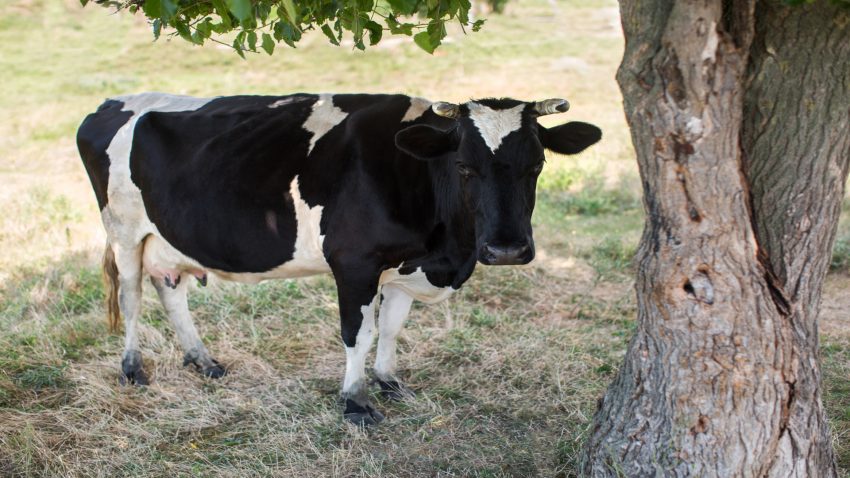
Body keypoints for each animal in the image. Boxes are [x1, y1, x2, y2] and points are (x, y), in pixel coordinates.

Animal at [76, 92, 601, 425]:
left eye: (537, 164)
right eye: (464, 166)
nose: (507, 249)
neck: (445, 251)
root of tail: (108, 104)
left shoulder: (403, 267)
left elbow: (391, 328)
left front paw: (390, 382)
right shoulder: (355, 264)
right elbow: (358, 332)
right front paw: (355, 403)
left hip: (168, 238)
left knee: (171, 290)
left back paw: (202, 361)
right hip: (123, 231)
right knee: (132, 295)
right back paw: (133, 369)